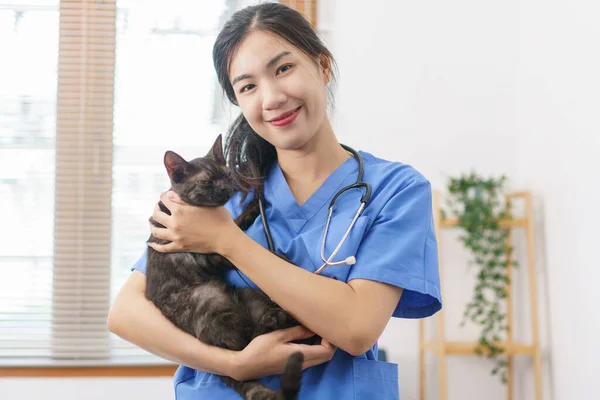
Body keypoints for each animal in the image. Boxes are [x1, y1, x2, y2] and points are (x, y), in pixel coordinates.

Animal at [145, 135, 304, 400]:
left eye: (227, 175)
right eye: (205, 181)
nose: (223, 189)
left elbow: (237, 226)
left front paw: (252, 208)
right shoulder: (209, 256)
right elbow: (248, 250)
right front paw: (284, 259)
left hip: (248, 295)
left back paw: (283, 318)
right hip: (211, 302)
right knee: (245, 346)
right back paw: (276, 319)